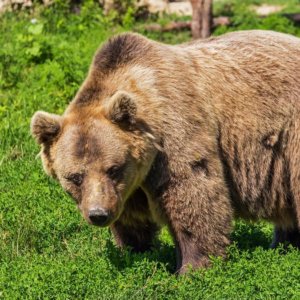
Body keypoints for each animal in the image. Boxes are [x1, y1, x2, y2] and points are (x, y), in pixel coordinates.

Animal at [31, 31, 300, 274]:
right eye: (75, 177)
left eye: (113, 169)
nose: (98, 214)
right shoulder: (130, 186)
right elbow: (132, 219)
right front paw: (133, 251)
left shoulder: (176, 133)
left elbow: (192, 195)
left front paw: (192, 267)